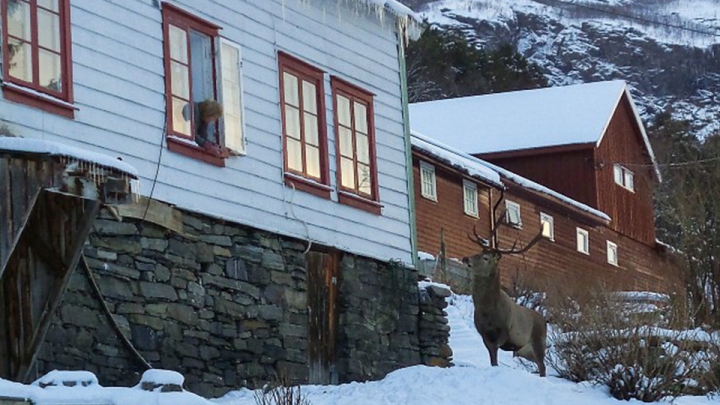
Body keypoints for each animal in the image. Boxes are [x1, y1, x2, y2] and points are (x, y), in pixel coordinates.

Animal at [464, 192, 548, 376]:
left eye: (486, 258)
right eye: (478, 252)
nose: (466, 258)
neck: (488, 311)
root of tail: (544, 320)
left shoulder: (504, 331)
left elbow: (495, 356)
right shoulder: (483, 333)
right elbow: (492, 359)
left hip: (538, 341)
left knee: (542, 365)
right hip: (524, 350)